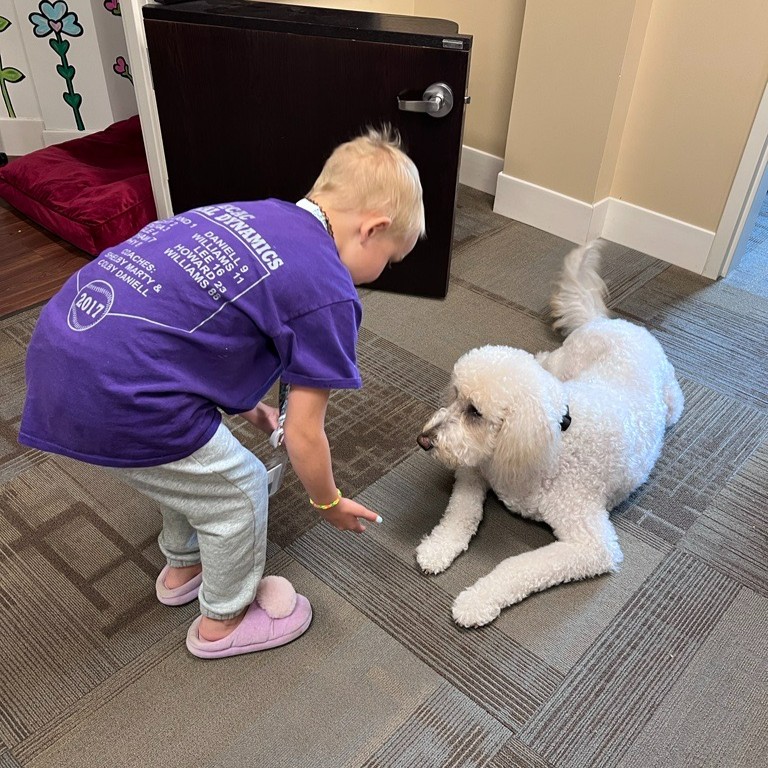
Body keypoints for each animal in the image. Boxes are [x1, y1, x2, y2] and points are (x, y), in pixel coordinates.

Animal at [414, 243, 684, 628]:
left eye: (475, 412)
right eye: (454, 395)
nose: (423, 440)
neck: (552, 438)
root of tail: (606, 322)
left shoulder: (592, 546)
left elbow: (517, 565)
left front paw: (477, 600)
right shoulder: (476, 468)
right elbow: (460, 512)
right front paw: (438, 547)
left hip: (672, 403)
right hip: (562, 362)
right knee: (542, 358)